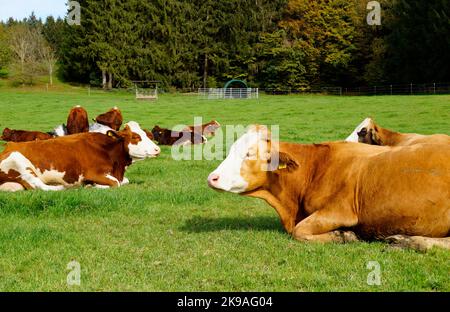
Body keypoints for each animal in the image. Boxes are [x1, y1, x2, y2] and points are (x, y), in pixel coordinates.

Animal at [0, 121, 161, 190]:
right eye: (135, 137)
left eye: (146, 134)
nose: (157, 149)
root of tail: (10, 145)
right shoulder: (93, 173)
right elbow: (116, 183)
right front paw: (91, 185)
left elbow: (124, 181)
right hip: (20, 163)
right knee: (38, 186)